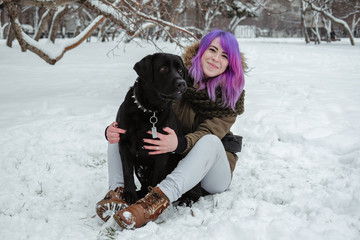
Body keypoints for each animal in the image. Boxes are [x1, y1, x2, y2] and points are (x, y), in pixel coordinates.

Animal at [116, 53, 194, 205]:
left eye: (180, 70)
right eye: (163, 68)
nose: (182, 83)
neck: (149, 111)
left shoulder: (161, 150)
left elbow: (157, 177)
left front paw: (150, 198)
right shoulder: (123, 143)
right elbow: (127, 171)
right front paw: (129, 194)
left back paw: (187, 199)